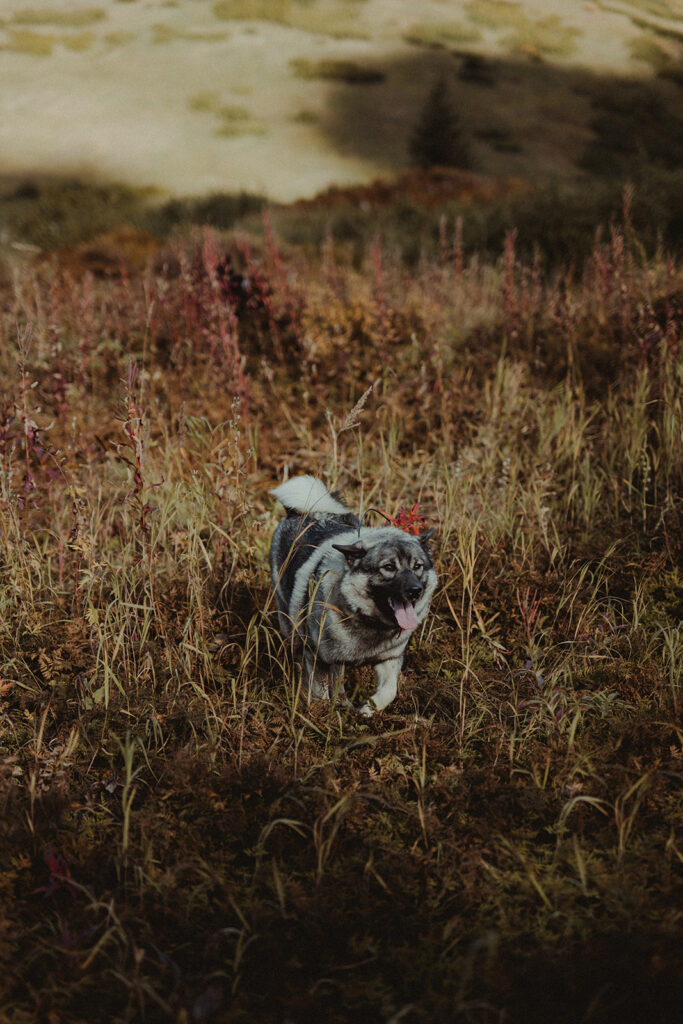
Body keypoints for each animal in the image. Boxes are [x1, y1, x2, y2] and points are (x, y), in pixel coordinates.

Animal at [268, 475, 438, 716]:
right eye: (388, 567)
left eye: (417, 566)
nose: (415, 591)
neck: (369, 621)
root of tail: (309, 511)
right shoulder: (321, 659)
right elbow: (324, 694)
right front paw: (326, 713)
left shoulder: (389, 659)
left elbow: (389, 691)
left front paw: (367, 710)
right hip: (289, 623)